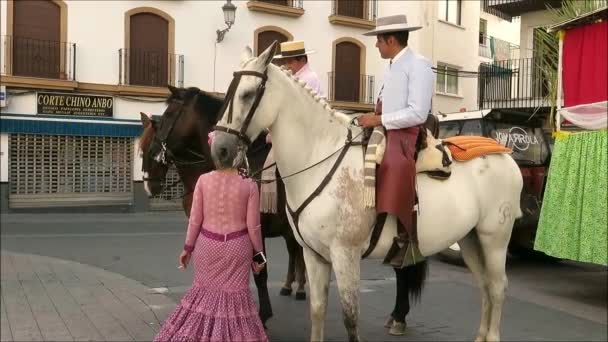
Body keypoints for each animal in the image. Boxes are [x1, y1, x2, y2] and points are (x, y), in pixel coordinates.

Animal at [140, 85, 306, 326]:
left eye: (169, 114)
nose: (147, 183)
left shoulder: (255, 231)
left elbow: (260, 274)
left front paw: (261, 316)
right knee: (296, 253)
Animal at [210, 43, 524, 342]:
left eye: (248, 94)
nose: (221, 149)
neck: (318, 157)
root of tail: (504, 154)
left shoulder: (345, 256)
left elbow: (350, 320)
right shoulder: (314, 255)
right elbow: (317, 310)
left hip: (494, 240)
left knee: (497, 287)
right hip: (470, 239)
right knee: (484, 285)